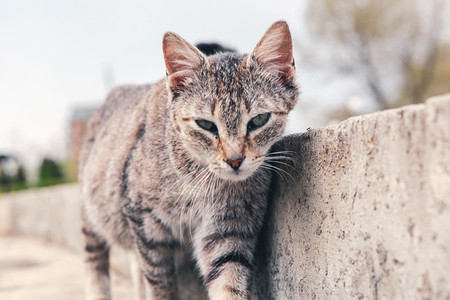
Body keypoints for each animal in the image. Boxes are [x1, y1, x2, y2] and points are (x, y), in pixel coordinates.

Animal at [79, 19, 300, 298]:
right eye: (205, 124)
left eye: (259, 120)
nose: (235, 160)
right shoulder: (146, 227)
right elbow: (160, 286)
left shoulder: (227, 229)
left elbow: (228, 283)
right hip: (91, 213)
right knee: (94, 260)